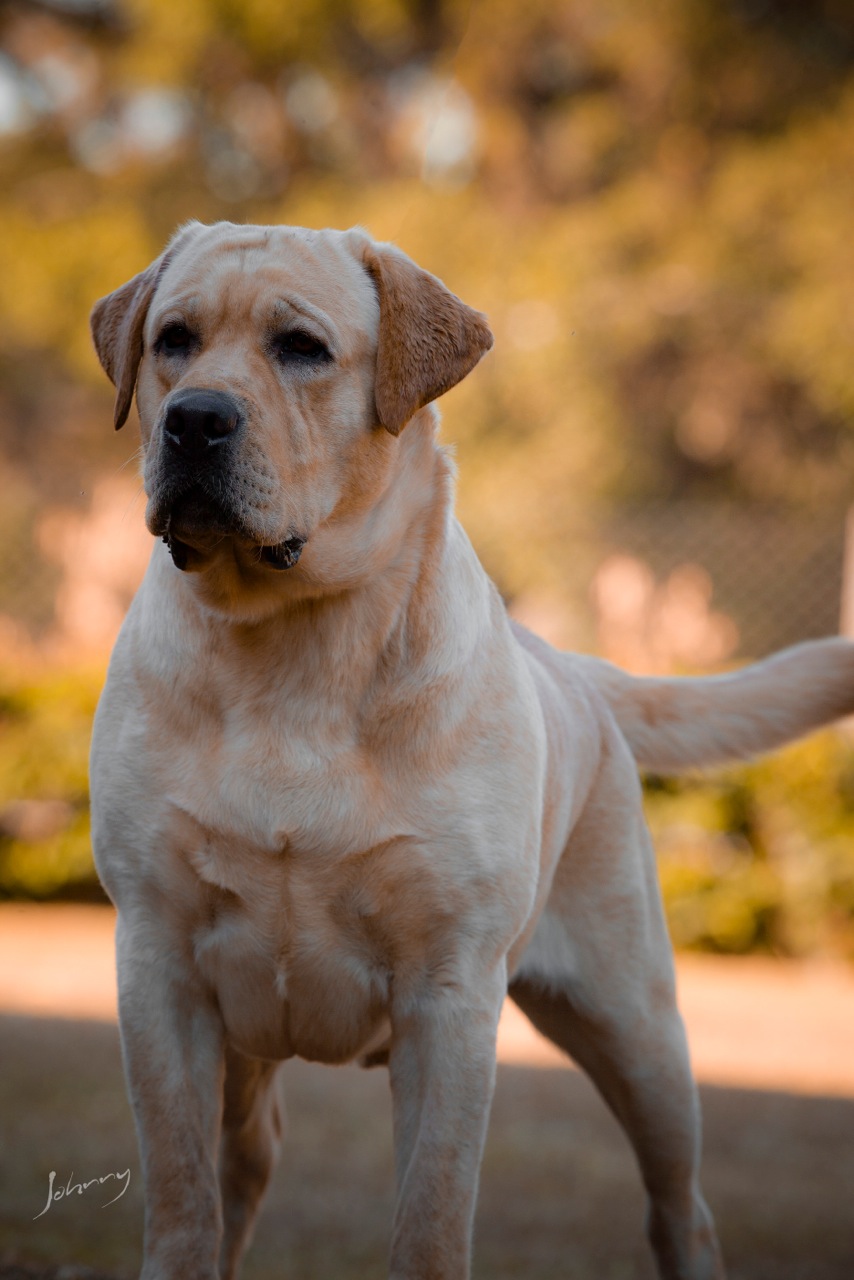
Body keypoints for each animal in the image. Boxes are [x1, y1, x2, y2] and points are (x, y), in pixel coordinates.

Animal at [90, 220, 854, 1280]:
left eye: (301, 348)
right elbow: (181, 1200)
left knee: (681, 1205)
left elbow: (432, 1216)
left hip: (639, 1030)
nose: (194, 421)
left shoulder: (449, 996)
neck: (292, 648)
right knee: (245, 1165)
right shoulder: (158, 966)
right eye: (173, 339)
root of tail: (571, 661)